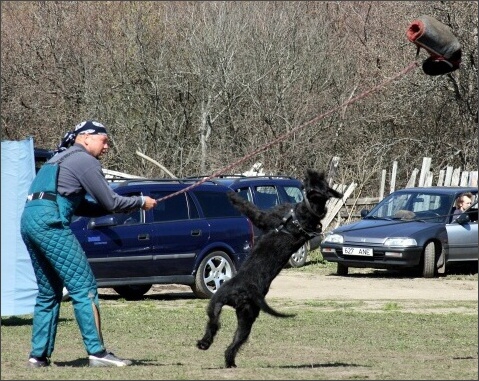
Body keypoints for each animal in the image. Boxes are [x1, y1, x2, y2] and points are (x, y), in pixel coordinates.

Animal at [197, 168, 344, 366]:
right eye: (322, 182)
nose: (314, 171)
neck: (308, 211)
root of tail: (246, 293)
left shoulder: (264, 218)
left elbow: (248, 207)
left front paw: (229, 193)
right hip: (236, 313)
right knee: (230, 338)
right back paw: (220, 354)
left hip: (223, 300)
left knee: (217, 327)